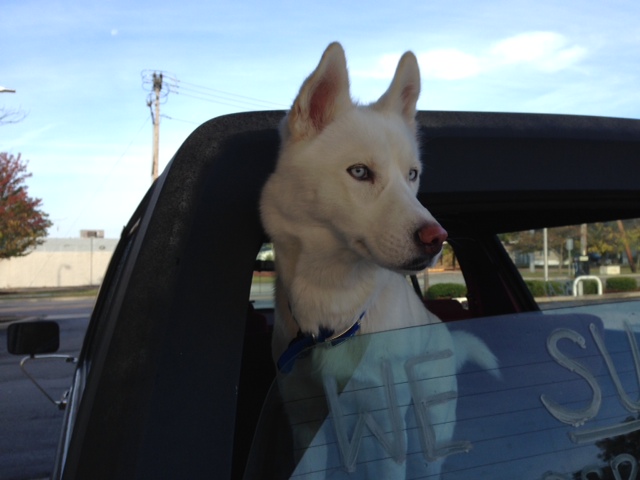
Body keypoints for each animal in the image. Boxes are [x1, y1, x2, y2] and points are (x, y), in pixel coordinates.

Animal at [258, 43, 496, 478]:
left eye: (412, 175)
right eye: (360, 172)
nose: (437, 239)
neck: (334, 310)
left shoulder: (385, 430)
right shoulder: (305, 428)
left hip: (427, 432)